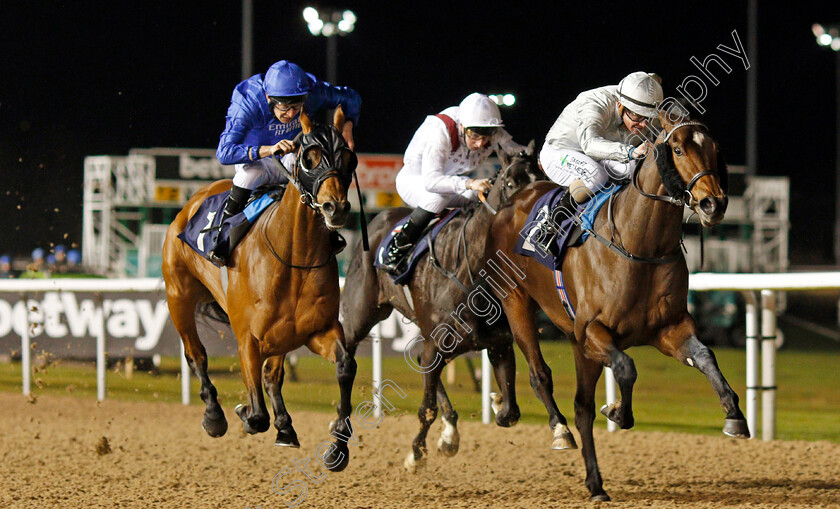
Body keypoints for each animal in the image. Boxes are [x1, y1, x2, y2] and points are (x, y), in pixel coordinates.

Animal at [162, 107, 360, 472]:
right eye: (309, 157)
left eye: (349, 157)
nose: (335, 208)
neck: (294, 256)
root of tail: (193, 201)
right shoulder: (248, 338)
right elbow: (255, 415)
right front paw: (240, 411)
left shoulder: (318, 330)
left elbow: (345, 365)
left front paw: (337, 445)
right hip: (178, 295)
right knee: (196, 355)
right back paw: (214, 416)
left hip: (281, 334)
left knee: (272, 375)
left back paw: (285, 427)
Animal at [338, 143, 576, 472]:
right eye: (510, 183)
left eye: (543, 178)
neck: (473, 274)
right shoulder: (439, 344)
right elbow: (426, 409)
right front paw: (415, 453)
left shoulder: (498, 344)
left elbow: (510, 413)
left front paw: (494, 403)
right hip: (361, 315)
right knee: (346, 358)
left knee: (421, 361)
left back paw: (450, 431)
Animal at [486, 111, 748, 500]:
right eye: (677, 148)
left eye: (715, 149)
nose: (713, 204)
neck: (640, 245)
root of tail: (514, 199)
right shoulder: (593, 331)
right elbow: (626, 368)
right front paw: (618, 411)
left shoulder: (669, 329)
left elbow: (705, 357)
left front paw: (734, 415)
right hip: (517, 302)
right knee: (540, 375)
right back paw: (558, 430)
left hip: (575, 340)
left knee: (581, 406)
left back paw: (595, 483)